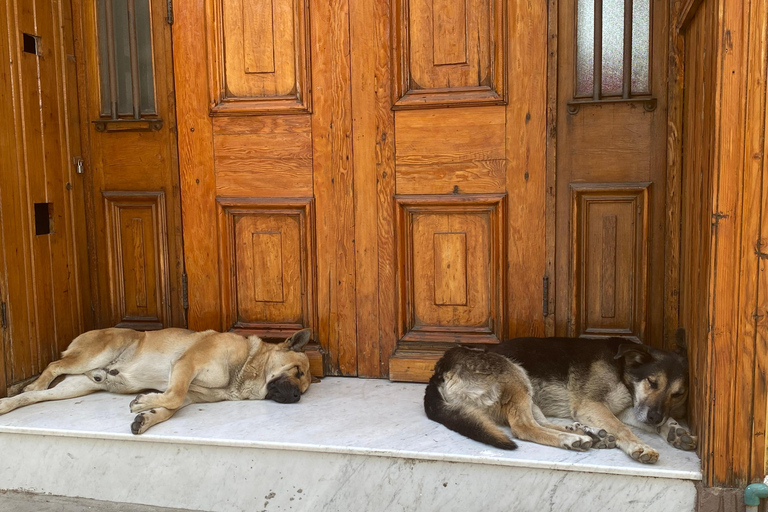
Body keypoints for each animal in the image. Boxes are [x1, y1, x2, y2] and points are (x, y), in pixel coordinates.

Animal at [0, 328, 314, 432]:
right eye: (298, 371)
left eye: (305, 387)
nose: (297, 397)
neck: (246, 366)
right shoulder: (185, 366)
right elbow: (173, 396)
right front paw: (143, 403)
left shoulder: (191, 394)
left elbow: (170, 406)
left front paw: (147, 416)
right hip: (94, 354)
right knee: (53, 366)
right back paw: (35, 383)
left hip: (78, 386)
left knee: (34, 397)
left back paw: (7, 404)